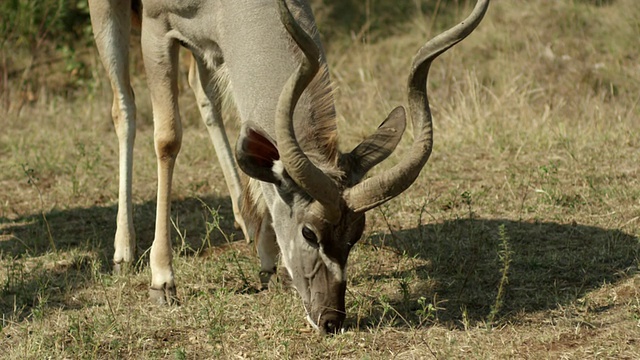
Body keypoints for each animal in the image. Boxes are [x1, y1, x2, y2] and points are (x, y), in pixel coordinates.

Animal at [89, 0, 490, 334]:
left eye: (356, 235)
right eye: (309, 233)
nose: (330, 320)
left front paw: (269, 257)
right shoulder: (158, 26)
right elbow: (167, 138)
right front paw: (162, 281)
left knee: (205, 96)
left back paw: (251, 230)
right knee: (123, 106)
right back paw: (124, 252)